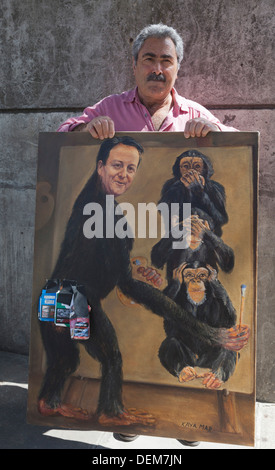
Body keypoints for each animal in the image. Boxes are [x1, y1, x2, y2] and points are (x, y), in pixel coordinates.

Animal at [160, 260, 239, 390]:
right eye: (189, 275)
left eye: (202, 275)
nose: (196, 280)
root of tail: (197, 364)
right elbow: (170, 327)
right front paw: (176, 278)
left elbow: (229, 322)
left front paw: (213, 277)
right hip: (191, 360)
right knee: (171, 341)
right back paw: (185, 371)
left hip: (205, 363)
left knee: (227, 345)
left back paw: (215, 377)